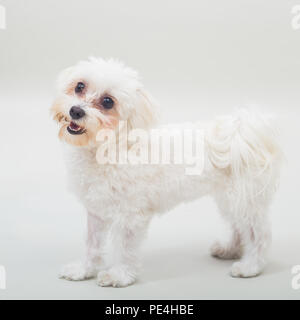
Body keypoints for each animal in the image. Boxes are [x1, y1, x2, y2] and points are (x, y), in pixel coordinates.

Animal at [50, 57, 282, 288]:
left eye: (108, 101)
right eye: (80, 86)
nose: (76, 111)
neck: (112, 146)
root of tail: (243, 131)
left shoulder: (131, 216)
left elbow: (125, 249)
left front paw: (120, 275)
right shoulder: (96, 212)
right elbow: (92, 244)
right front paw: (84, 270)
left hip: (245, 199)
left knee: (259, 234)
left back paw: (251, 266)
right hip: (231, 200)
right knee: (238, 227)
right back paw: (230, 250)